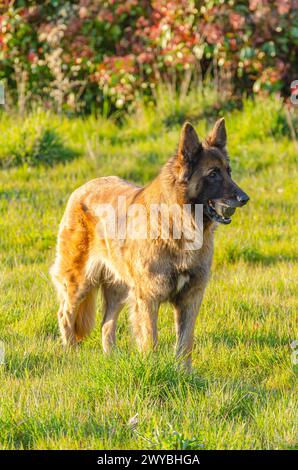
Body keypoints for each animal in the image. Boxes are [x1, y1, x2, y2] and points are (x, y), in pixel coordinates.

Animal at [51, 119, 249, 370]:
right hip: (80, 281)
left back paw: (112, 358)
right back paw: (71, 354)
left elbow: (185, 343)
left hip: (119, 289)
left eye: (229, 172)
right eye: (213, 174)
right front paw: (153, 368)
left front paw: (185, 374)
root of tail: (82, 188)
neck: (177, 225)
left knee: (106, 324)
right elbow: (150, 340)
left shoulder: (190, 298)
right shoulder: (148, 297)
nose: (245, 199)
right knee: (65, 314)